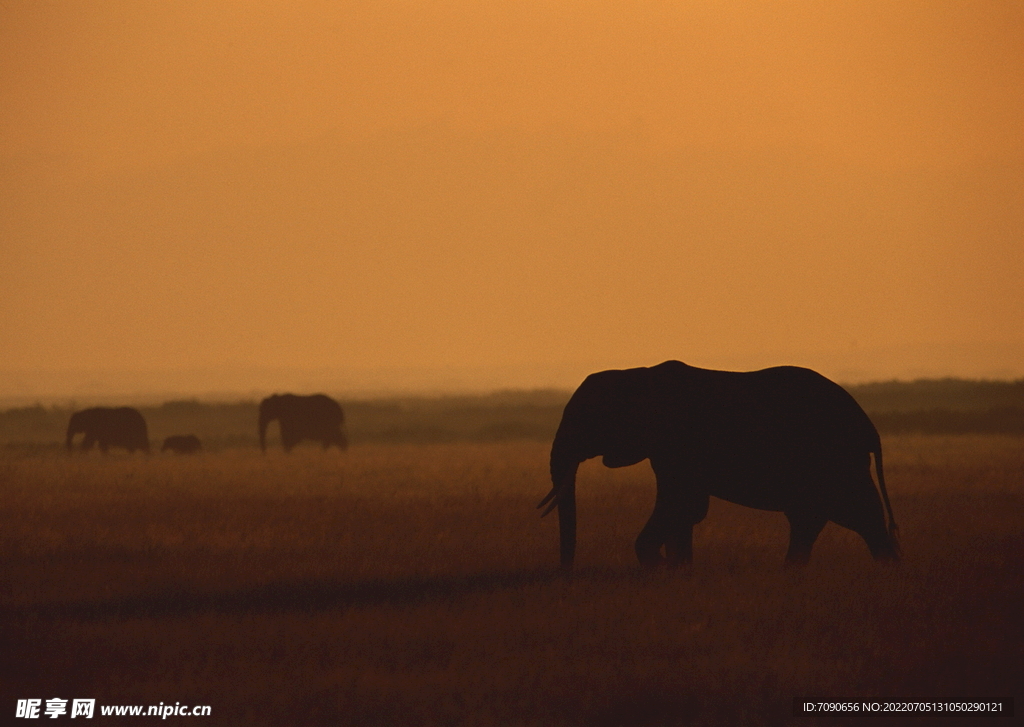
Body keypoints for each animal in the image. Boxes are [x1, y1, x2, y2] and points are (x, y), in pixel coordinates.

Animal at [540, 362, 901, 573]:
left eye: (585, 420)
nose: (566, 573)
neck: (635, 374)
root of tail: (869, 426)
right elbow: (684, 510)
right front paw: (679, 569)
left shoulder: (679, 444)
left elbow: (683, 504)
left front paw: (665, 568)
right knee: (833, 518)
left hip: (834, 460)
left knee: (846, 514)